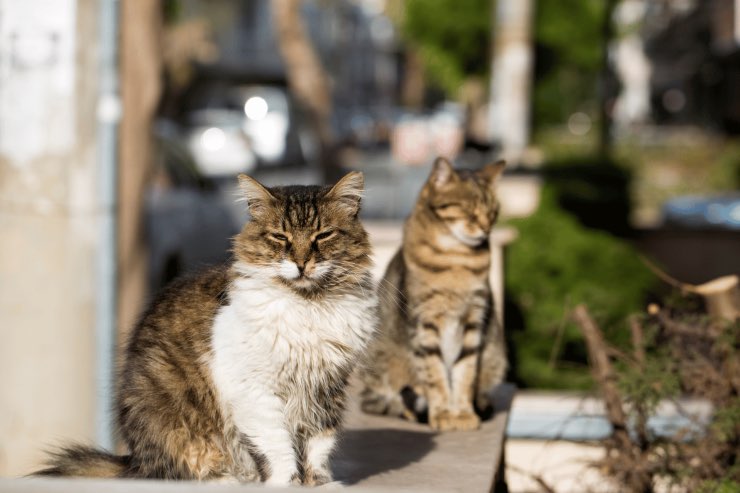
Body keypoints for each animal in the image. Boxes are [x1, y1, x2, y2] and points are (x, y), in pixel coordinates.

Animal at [35, 172, 378, 484]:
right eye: (280, 237)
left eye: (323, 235)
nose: (302, 263)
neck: (309, 304)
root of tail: (135, 461)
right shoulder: (255, 390)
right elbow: (278, 447)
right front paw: (287, 482)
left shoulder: (327, 387)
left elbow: (320, 444)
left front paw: (320, 482)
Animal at [360, 159, 508, 430]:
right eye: (470, 210)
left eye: (493, 212)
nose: (485, 229)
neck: (457, 259)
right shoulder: (424, 323)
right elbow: (435, 375)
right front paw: (442, 414)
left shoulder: (474, 321)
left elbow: (465, 373)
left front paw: (463, 413)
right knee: (386, 400)